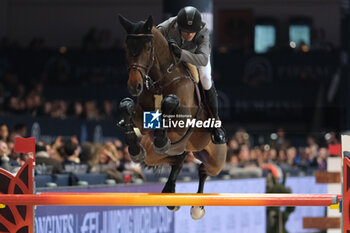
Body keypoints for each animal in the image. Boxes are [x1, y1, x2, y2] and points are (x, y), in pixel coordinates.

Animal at [117, 15, 227, 220]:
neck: (162, 79)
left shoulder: (182, 124)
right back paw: (170, 191)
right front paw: (134, 147)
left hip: (217, 160)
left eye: (148, 47)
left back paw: (197, 207)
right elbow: (126, 106)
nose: (135, 86)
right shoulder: (142, 120)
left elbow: (169, 104)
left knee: (203, 170)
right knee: (178, 160)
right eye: (126, 46)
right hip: (154, 154)